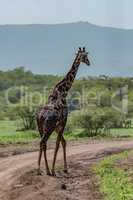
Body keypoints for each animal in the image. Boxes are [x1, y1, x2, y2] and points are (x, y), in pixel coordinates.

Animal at [36, 46, 90, 175]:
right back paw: (42, 170)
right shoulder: (63, 121)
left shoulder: (58, 126)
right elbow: (57, 144)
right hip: (48, 128)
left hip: (41, 128)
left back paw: (44, 170)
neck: (63, 91)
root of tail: (40, 116)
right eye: (85, 56)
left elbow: (63, 142)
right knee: (43, 142)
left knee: (43, 144)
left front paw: (64, 168)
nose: (89, 62)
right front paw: (54, 169)